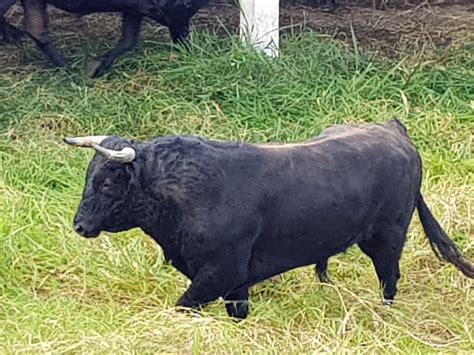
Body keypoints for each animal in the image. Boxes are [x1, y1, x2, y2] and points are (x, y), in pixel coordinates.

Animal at [64, 121, 474, 322]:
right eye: (88, 177)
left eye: (106, 182)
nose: (79, 226)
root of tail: (394, 130)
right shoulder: (235, 283)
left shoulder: (220, 273)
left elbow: (183, 306)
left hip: (388, 238)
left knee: (389, 281)